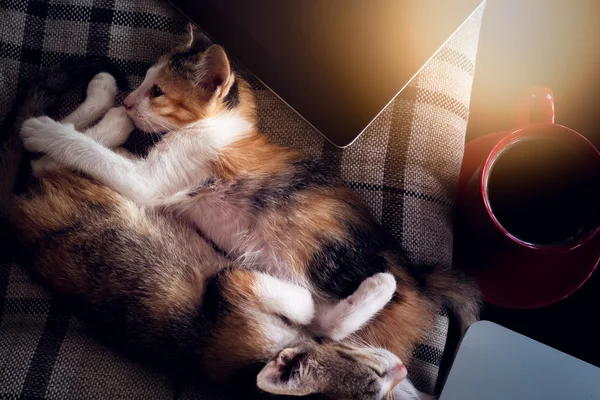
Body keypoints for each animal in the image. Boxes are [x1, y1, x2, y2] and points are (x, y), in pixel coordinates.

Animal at [19, 25, 478, 396]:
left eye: (157, 92)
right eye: (146, 82)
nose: (131, 101)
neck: (221, 125)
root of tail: (420, 281)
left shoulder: (151, 182)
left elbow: (85, 151)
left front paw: (43, 130)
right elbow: (92, 152)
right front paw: (104, 108)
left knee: (327, 327)